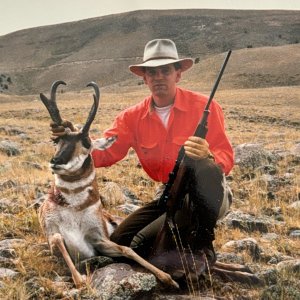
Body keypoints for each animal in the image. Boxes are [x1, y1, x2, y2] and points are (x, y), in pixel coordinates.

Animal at [37, 81, 178, 288]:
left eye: (86, 142)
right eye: (57, 139)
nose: (56, 161)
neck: (74, 210)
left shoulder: (99, 241)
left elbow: (127, 249)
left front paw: (168, 278)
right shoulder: (54, 236)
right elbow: (57, 240)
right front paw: (80, 280)